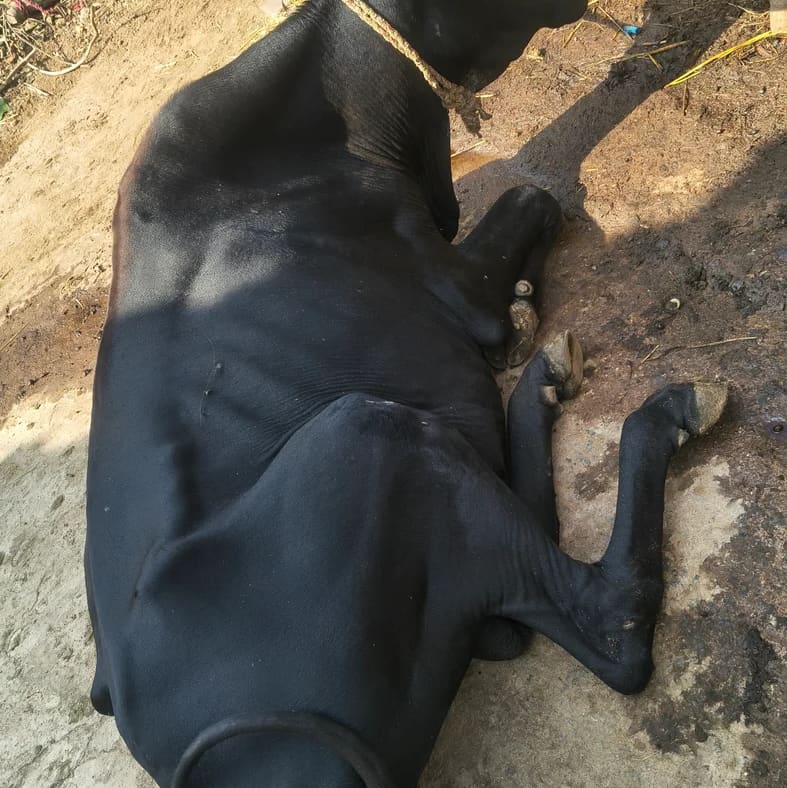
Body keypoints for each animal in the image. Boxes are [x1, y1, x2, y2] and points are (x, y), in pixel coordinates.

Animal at [84, 1, 727, 786]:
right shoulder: (456, 281)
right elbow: (533, 192)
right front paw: (518, 313)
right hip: (365, 433)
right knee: (608, 623)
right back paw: (664, 411)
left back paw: (541, 380)